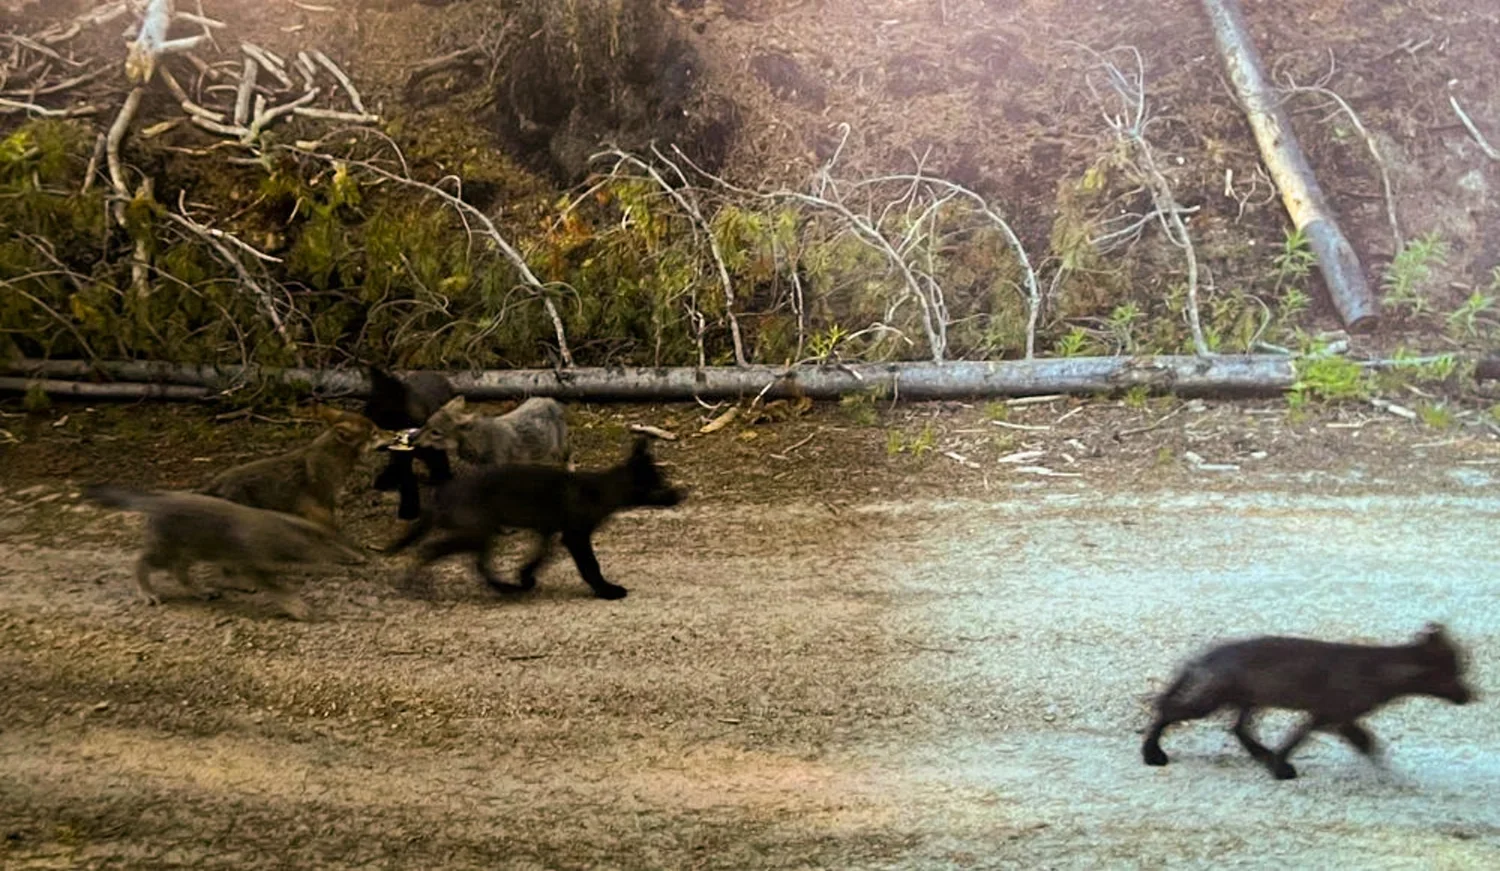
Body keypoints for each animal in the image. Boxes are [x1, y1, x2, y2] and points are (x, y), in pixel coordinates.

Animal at [82, 486, 367, 620]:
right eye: (331, 545)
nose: (360, 557)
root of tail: (155, 499)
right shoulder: (253, 564)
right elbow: (279, 589)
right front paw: (300, 608)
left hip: (190, 550)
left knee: (179, 572)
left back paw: (202, 591)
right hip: (169, 549)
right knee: (140, 562)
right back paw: (148, 594)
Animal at [388, 436, 682, 600]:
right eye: (658, 485)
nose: (681, 493)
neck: (602, 490)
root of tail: (441, 494)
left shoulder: (550, 531)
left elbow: (541, 556)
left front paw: (525, 575)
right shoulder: (576, 535)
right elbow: (590, 566)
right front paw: (607, 591)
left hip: (480, 533)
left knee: (474, 562)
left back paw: (505, 588)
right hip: (476, 531)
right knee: (437, 551)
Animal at [1141, 623, 1475, 780]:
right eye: (1452, 673)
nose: (1471, 695)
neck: (1379, 670)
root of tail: (1202, 658)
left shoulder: (1339, 718)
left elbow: (1366, 743)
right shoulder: (1328, 714)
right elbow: (1299, 738)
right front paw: (1280, 767)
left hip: (1249, 699)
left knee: (1238, 729)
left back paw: (1261, 755)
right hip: (1214, 698)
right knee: (1167, 710)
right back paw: (1152, 754)